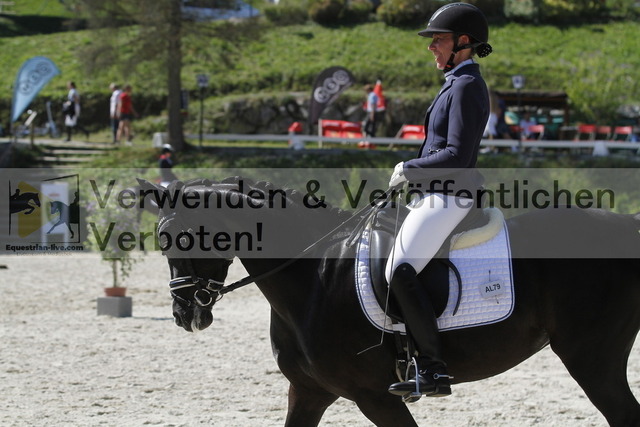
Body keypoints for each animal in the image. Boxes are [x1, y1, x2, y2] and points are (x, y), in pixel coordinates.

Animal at [139, 177, 640, 426]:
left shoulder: (374, 395)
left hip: (591, 358)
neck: (315, 276)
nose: (185, 314)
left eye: (181, 236)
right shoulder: (308, 391)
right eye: (161, 237)